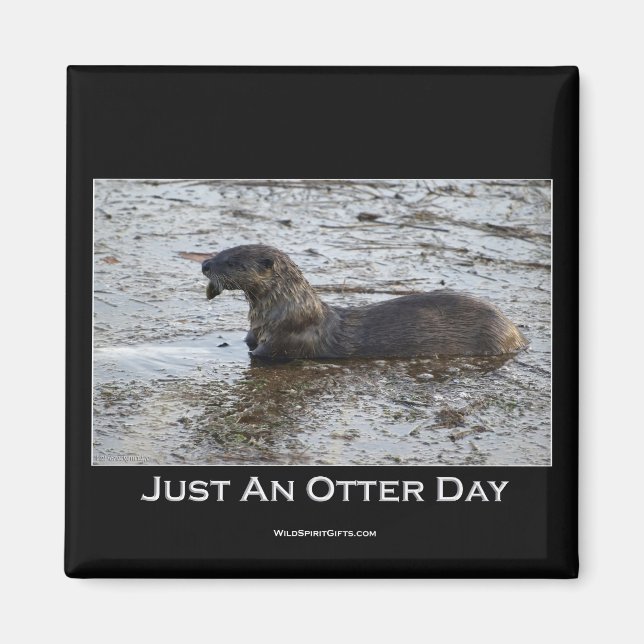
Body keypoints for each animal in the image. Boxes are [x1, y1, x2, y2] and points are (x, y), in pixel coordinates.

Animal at [201, 244, 527, 359]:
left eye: (231, 262)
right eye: (221, 250)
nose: (204, 263)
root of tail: (516, 332)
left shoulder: (286, 340)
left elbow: (261, 355)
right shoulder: (255, 332)